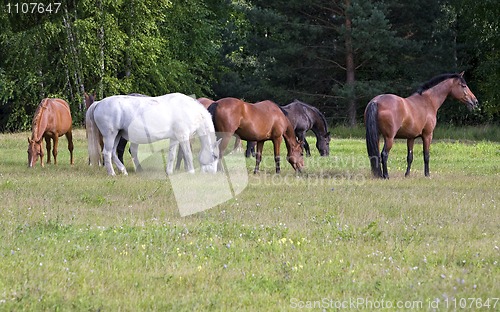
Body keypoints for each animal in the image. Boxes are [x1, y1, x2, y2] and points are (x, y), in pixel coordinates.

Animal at [86, 92, 221, 176]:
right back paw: (112, 173)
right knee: (107, 153)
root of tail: (98, 103)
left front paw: (169, 172)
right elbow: (187, 154)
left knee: (113, 153)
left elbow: (172, 155)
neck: (189, 109)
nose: (213, 173)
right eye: (215, 156)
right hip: (110, 135)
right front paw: (191, 172)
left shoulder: (174, 138)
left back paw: (124, 171)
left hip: (118, 135)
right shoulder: (183, 136)